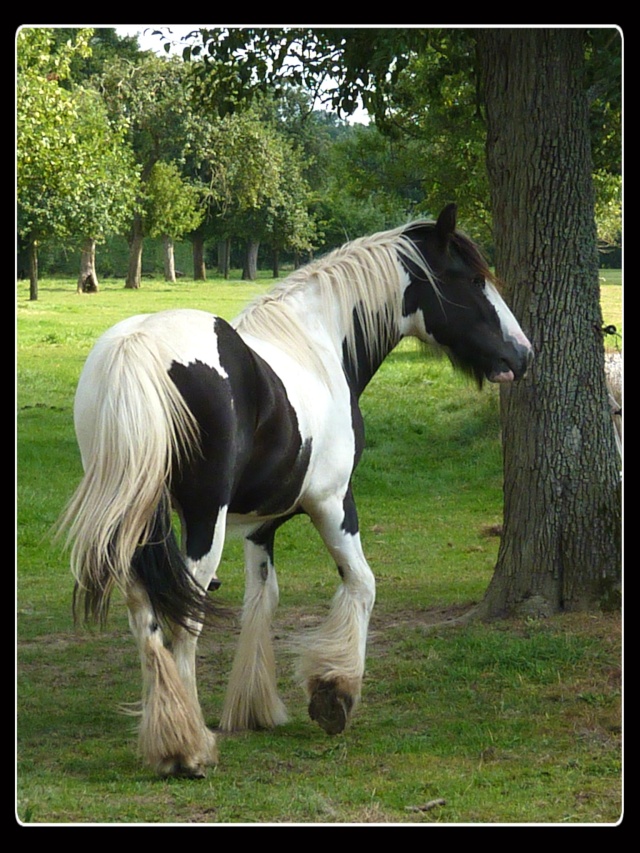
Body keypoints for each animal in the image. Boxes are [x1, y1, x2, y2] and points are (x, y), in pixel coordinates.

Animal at [58, 205, 528, 772]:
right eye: (475, 280)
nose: (523, 354)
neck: (316, 345)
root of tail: (139, 346)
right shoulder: (333, 503)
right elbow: (362, 584)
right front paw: (334, 693)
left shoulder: (261, 525)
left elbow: (263, 598)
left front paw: (254, 708)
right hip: (203, 522)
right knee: (183, 619)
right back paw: (188, 749)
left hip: (139, 520)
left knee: (144, 615)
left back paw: (166, 733)